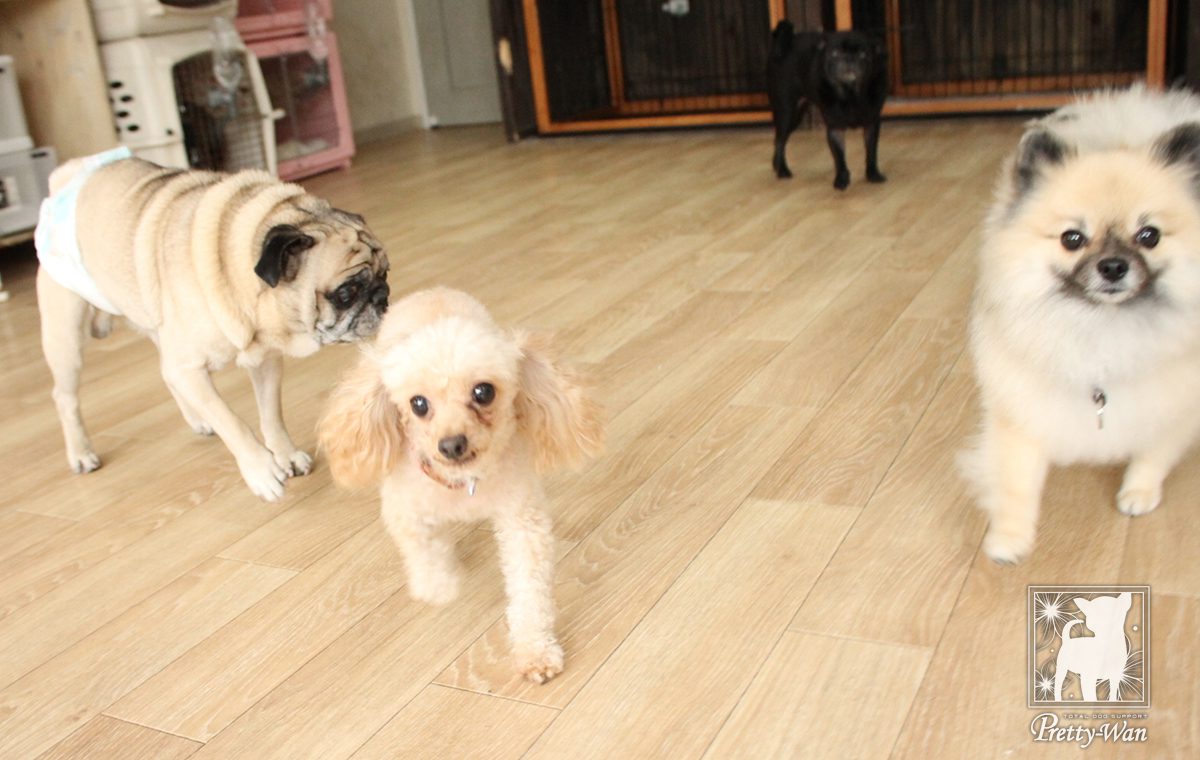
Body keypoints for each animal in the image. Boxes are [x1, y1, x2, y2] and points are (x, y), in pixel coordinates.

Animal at [36, 147, 389, 501]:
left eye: (385, 272)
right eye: (346, 293)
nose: (382, 297)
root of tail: (67, 175)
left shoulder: (265, 361)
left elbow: (271, 414)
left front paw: (285, 454)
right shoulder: (189, 370)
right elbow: (232, 422)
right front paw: (261, 470)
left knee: (164, 372)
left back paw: (196, 419)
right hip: (66, 336)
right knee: (64, 397)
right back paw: (81, 453)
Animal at [318, 288, 604, 683]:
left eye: (484, 392)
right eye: (418, 404)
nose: (452, 445)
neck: (461, 486)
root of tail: (430, 291)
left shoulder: (522, 521)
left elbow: (529, 592)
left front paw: (535, 651)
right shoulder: (405, 512)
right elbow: (427, 555)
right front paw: (441, 588)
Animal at [768, 20, 888, 190]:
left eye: (863, 54)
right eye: (835, 53)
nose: (849, 59)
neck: (850, 94)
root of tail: (787, 42)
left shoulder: (871, 124)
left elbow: (871, 152)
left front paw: (873, 174)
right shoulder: (835, 128)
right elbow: (839, 157)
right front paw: (842, 179)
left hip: (796, 117)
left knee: (778, 139)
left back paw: (777, 165)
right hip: (787, 112)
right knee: (780, 140)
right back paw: (782, 170)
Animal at [963, 86, 1200, 563]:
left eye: (1149, 236)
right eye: (1072, 239)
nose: (1112, 266)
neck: (1100, 327)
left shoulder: (1176, 401)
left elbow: (1155, 452)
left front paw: (1138, 492)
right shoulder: (1024, 404)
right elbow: (1016, 480)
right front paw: (1009, 538)